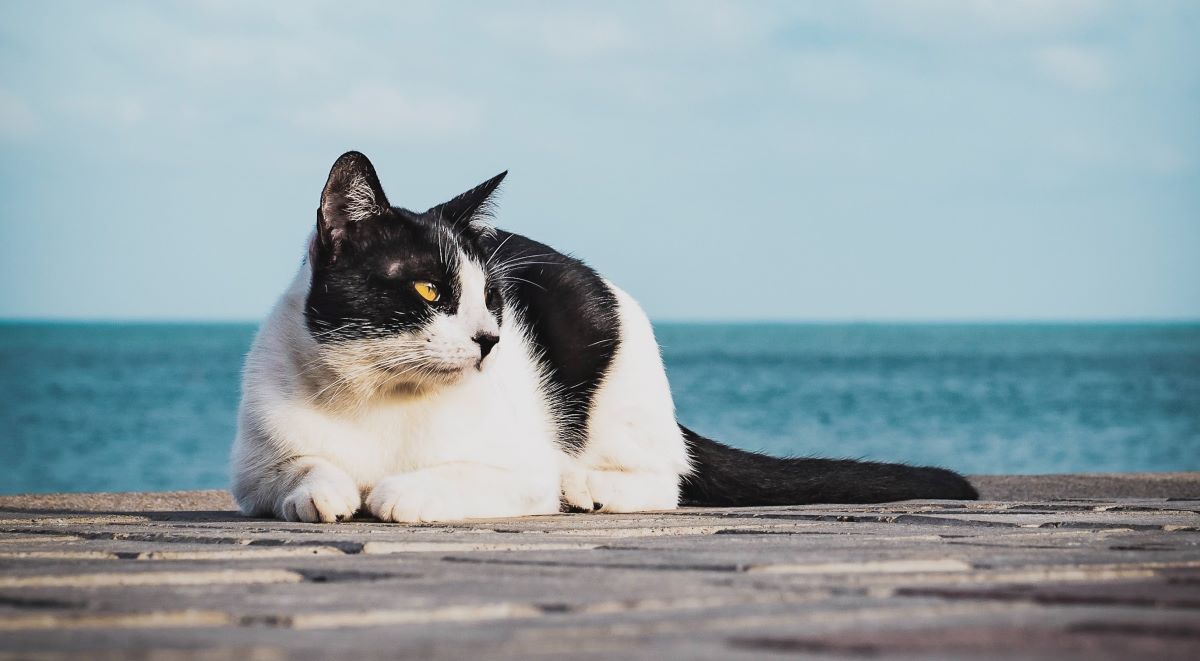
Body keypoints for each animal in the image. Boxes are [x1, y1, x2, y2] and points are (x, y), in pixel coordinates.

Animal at [229, 151, 979, 523]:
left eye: (491, 298)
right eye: (429, 291)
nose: (491, 339)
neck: (381, 398)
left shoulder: (516, 468)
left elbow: (419, 487)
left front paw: (396, 492)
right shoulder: (252, 470)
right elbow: (303, 468)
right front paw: (323, 491)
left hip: (609, 365)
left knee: (666, 476)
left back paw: (586, 486)